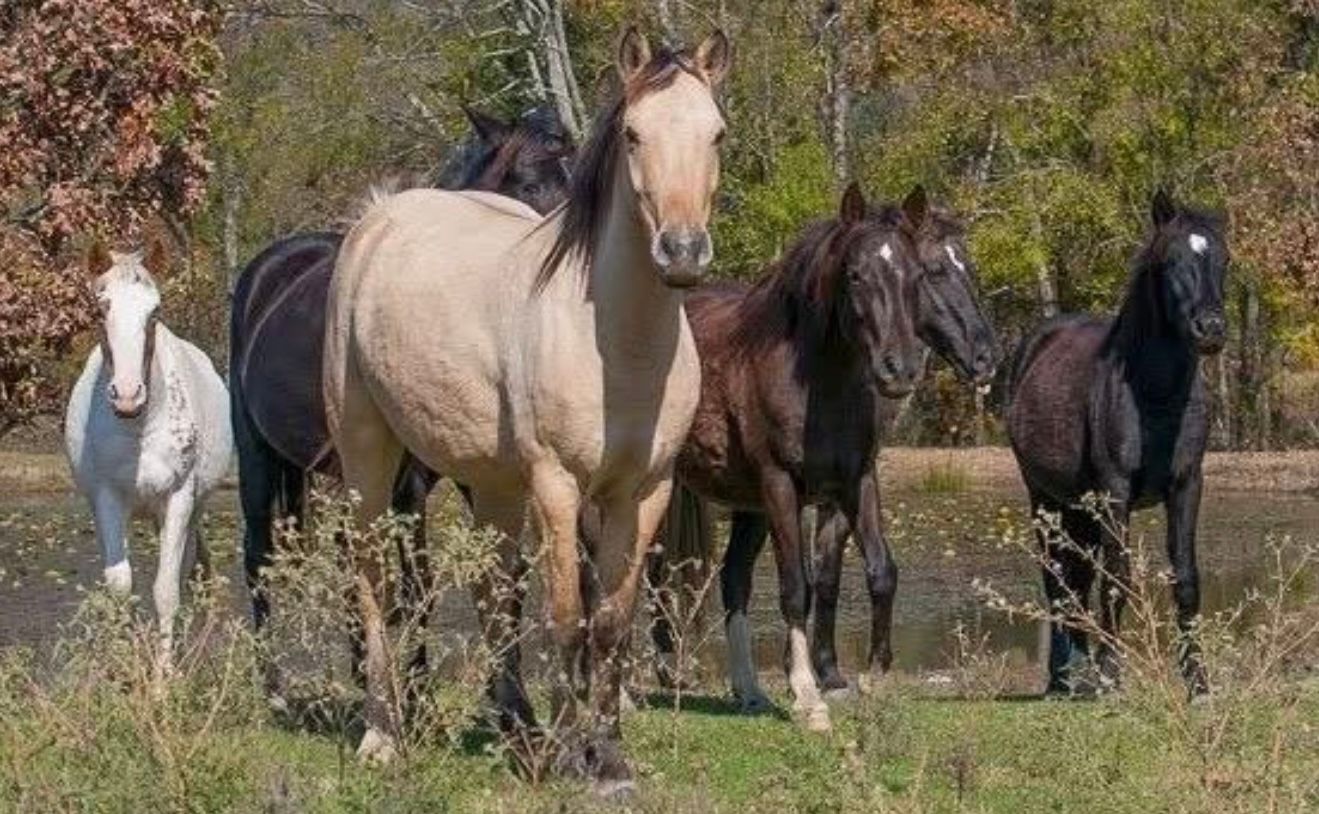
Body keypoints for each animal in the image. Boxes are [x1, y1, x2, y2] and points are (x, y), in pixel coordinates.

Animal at [64, 239, 233, 675]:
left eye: (154, 311)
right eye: (100, 309)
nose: (127, 395)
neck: (138, 430)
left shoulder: (178, 498)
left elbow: (166, 590)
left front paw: (164, 678)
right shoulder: (107, 498)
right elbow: (121, 586)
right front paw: (129, 667)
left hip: (192, 508)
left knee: (189, 569)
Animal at [228, 105, 573, 687]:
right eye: (527, 183)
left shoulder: (476, 475)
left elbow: (504, 576)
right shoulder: (409, 487)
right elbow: (418, 590)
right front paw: (416, 693)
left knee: (349, 561)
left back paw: (360, 669)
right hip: (258, 456)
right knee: (260, 561)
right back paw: (273, 683)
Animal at [323, 28, 730, 792]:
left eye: (716, 133)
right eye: (633, 134)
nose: (683, 252)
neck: (616, 343)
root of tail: (378, 217)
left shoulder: (643, 491)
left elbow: (611, 621)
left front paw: (608, 756)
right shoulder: (557, 487)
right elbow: (566, 620)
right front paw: (575, 756)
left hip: (492, 485)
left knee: (494, 594)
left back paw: (519, 736)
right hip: (369, 455)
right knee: (372, 579)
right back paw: (382, 735)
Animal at [660, 183, 927, 732]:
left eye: (916, 276)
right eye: (855, 275)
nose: (901, 369)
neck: (817, 382)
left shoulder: (857, 482)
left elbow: (882, 573)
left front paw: (875, 681)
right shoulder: (780, 484)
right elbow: (795, 587)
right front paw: (808, 699)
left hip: (748, 508)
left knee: (733, 579)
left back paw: (750, 692)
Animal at [1006, 189, 1227, 695]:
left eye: (1224, 259)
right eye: (1172, 259)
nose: (1211, 328)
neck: (1154, 393)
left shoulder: (1188, 485)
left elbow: (1185, 578)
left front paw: (1199, 683)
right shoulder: (1114, 491)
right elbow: (1117, 578)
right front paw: (1111, 675)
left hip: (1079, 505)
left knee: (1077, 576)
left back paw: (1079, 671)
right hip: (1045, 498)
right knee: (1057, 580)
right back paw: (1064, 679)